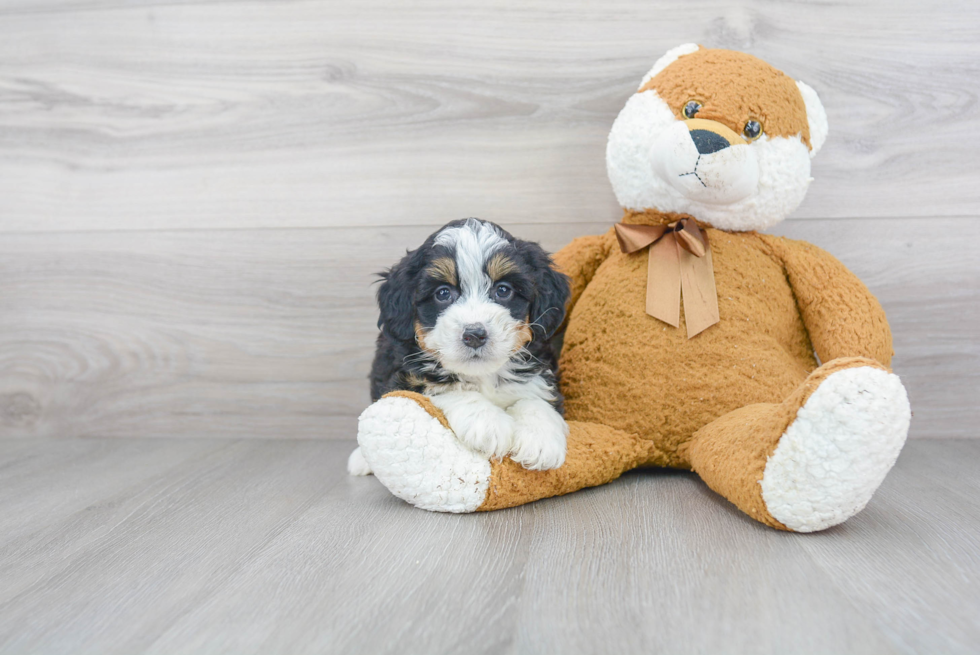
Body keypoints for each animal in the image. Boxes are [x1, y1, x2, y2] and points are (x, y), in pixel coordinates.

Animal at [348, 220, 572, 476]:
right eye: (443, 293)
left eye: (503, 290)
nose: (474, 335)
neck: (483, 375)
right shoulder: (405, 376)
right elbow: (446, 387)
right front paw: (487, 424)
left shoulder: (539, 365)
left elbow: (537, 396)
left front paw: (540, 439)